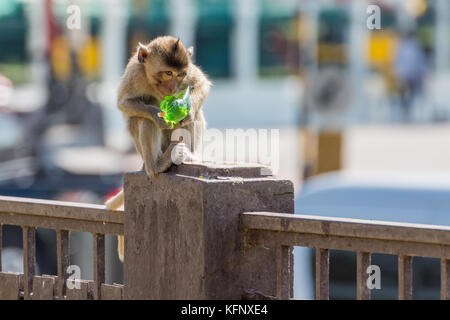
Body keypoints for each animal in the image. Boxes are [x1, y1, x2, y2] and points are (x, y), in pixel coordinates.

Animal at [105, 36, 211, 262]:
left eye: (180, 74)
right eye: (168, 73)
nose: (173, 87)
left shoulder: (188, 75)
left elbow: (201, 85)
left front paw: (185, 111)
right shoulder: (135, 74)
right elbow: (124, 103)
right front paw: (158, 116)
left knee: (196, 115)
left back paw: (190, 156)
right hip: (150, 150)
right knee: (142, 121)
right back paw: (157, 166)